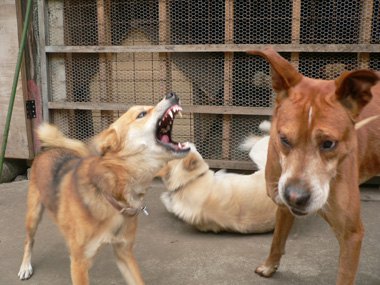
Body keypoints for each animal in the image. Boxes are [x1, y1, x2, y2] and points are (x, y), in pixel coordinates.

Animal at [17, 92, 190, 282]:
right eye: (142, 114)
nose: (172, 94)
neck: (111, 193)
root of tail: (50, 149)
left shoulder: (124, 253)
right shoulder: (79, 263)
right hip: (33, 216)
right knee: (28, 241)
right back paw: (25, 266)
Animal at [246, 48, 380, 284]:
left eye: (329, 144)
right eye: (283, 139)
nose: (296, 197)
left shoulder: (351, 234)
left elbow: (345, 276)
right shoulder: (282, 204)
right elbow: (277, 239)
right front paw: (269, 265)